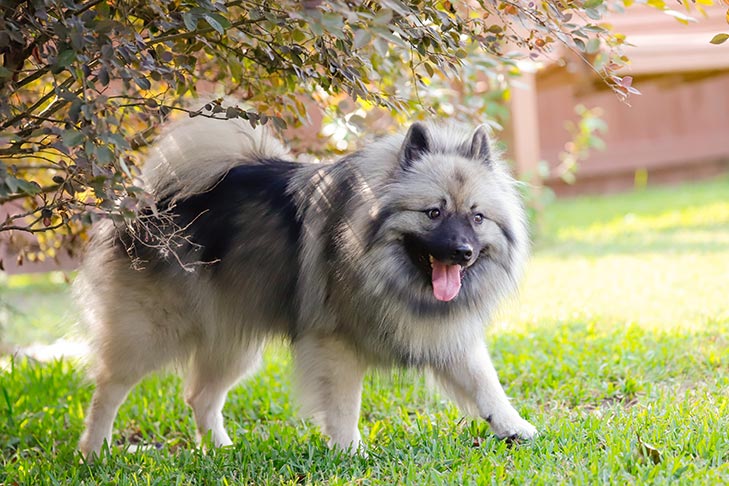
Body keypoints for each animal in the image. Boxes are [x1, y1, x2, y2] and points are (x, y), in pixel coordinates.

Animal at [77, 112, 536, 458]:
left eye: (477, 217)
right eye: (433, 213)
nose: (462, 252)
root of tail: (149, 204)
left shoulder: (447, 335)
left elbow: (485, 384)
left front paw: (513, 427)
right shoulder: (336, 346)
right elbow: (345, 406)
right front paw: (352, 452)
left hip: (232, 337)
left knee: (200, 396)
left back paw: (220, 449)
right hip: (150, 333)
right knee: (109, 391)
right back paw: (93, 453)